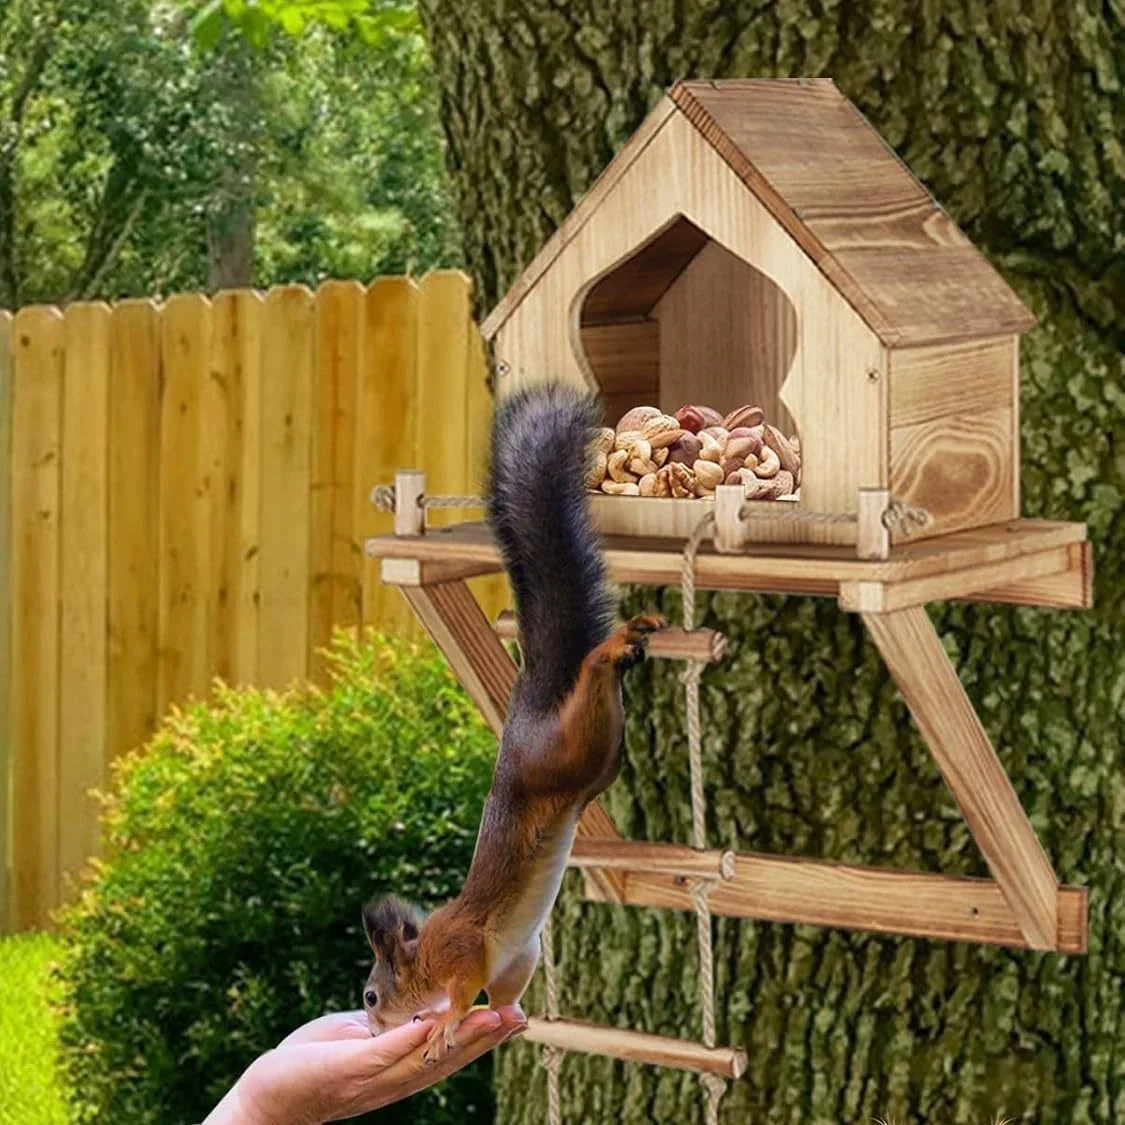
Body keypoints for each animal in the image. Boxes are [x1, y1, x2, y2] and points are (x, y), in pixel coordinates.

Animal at [361, 383, 665, 1063]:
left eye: (369, 995)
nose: (367, 1029)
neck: (424, 955)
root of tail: (526, 716)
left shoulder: (464, 948)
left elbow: (465, 983)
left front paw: (444, 1023)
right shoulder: (514, 958)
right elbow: (502, 993)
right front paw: (495, 1020)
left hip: (565, 749)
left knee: (592, 672)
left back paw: (617, 643)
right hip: (596, 758)